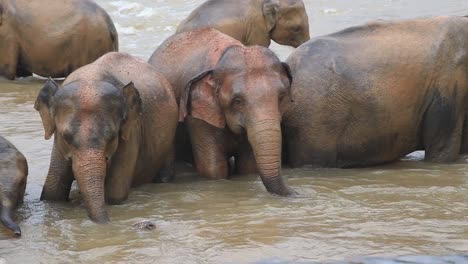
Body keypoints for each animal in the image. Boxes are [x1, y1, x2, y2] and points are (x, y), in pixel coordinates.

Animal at [35, 51, 179, 223]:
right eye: (66, 138)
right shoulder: (58, 143)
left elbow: (115, 194)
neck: (90, 77)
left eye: (111, 137)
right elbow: (53, 191)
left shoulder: (131, 131)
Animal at [149, 28, 296, 196]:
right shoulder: (197, 118)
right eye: (237, 100)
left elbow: (247, 166)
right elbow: (213, 168)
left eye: (281, 97)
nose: (295, 192)